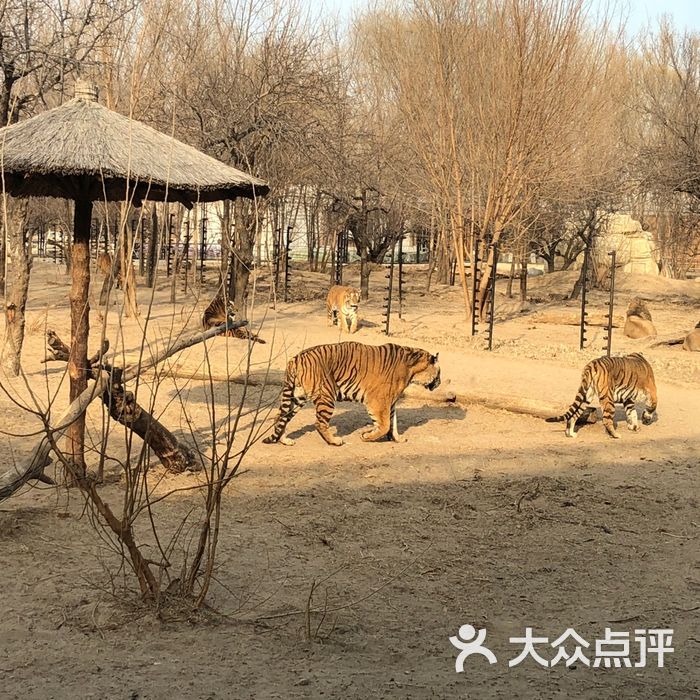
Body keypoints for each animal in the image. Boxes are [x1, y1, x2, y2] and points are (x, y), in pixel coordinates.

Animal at [262, 340, 438, 448]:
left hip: (297, 397)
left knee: (280, 417)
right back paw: (335, 441)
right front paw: (366, 436)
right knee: (319, 423)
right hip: (326, 396)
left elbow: (392, 423)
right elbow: (384, 424)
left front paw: (398, 438)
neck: (412, 369)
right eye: (439, 372)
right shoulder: (378, 400)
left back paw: (285, 441)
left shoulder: (391, 402)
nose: (439, 383)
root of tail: (296, 358)